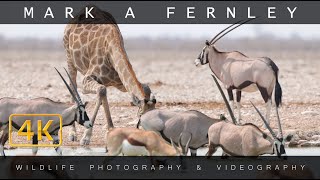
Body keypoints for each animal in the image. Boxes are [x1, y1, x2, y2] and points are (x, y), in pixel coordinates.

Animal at [62, 6, 156, 146]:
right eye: (142, 117)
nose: (152, 137)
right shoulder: (87, 79)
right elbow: (101, 90)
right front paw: (86, 137)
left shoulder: (119, 82)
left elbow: (103, 94)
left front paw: (110, 130)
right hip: (69, 58)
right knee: (73, 87)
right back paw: (72, 134)